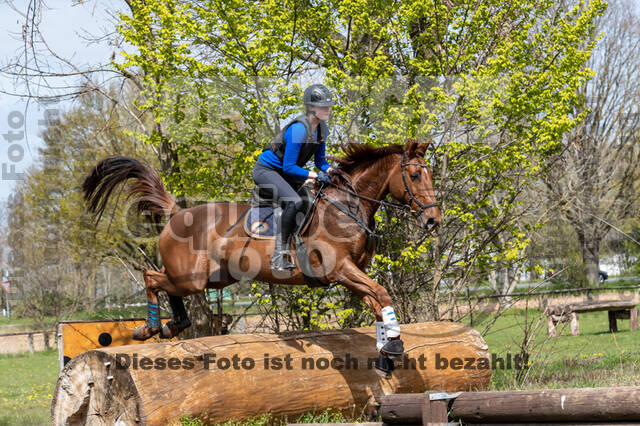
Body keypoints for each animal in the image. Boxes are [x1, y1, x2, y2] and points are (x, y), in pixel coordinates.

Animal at [81, 141, 440, 376]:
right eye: (415, 176)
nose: (433, 220)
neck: (346, 208)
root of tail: (177, 213)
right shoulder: (340, 269)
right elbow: (382, 293)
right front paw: (393, 348)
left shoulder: (353, 274)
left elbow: (378, 303)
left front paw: (386, 353)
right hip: (191, 276)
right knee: (151, 277)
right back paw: (150, 328)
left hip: (215, 277)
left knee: (165, 285)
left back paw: (173, 325)